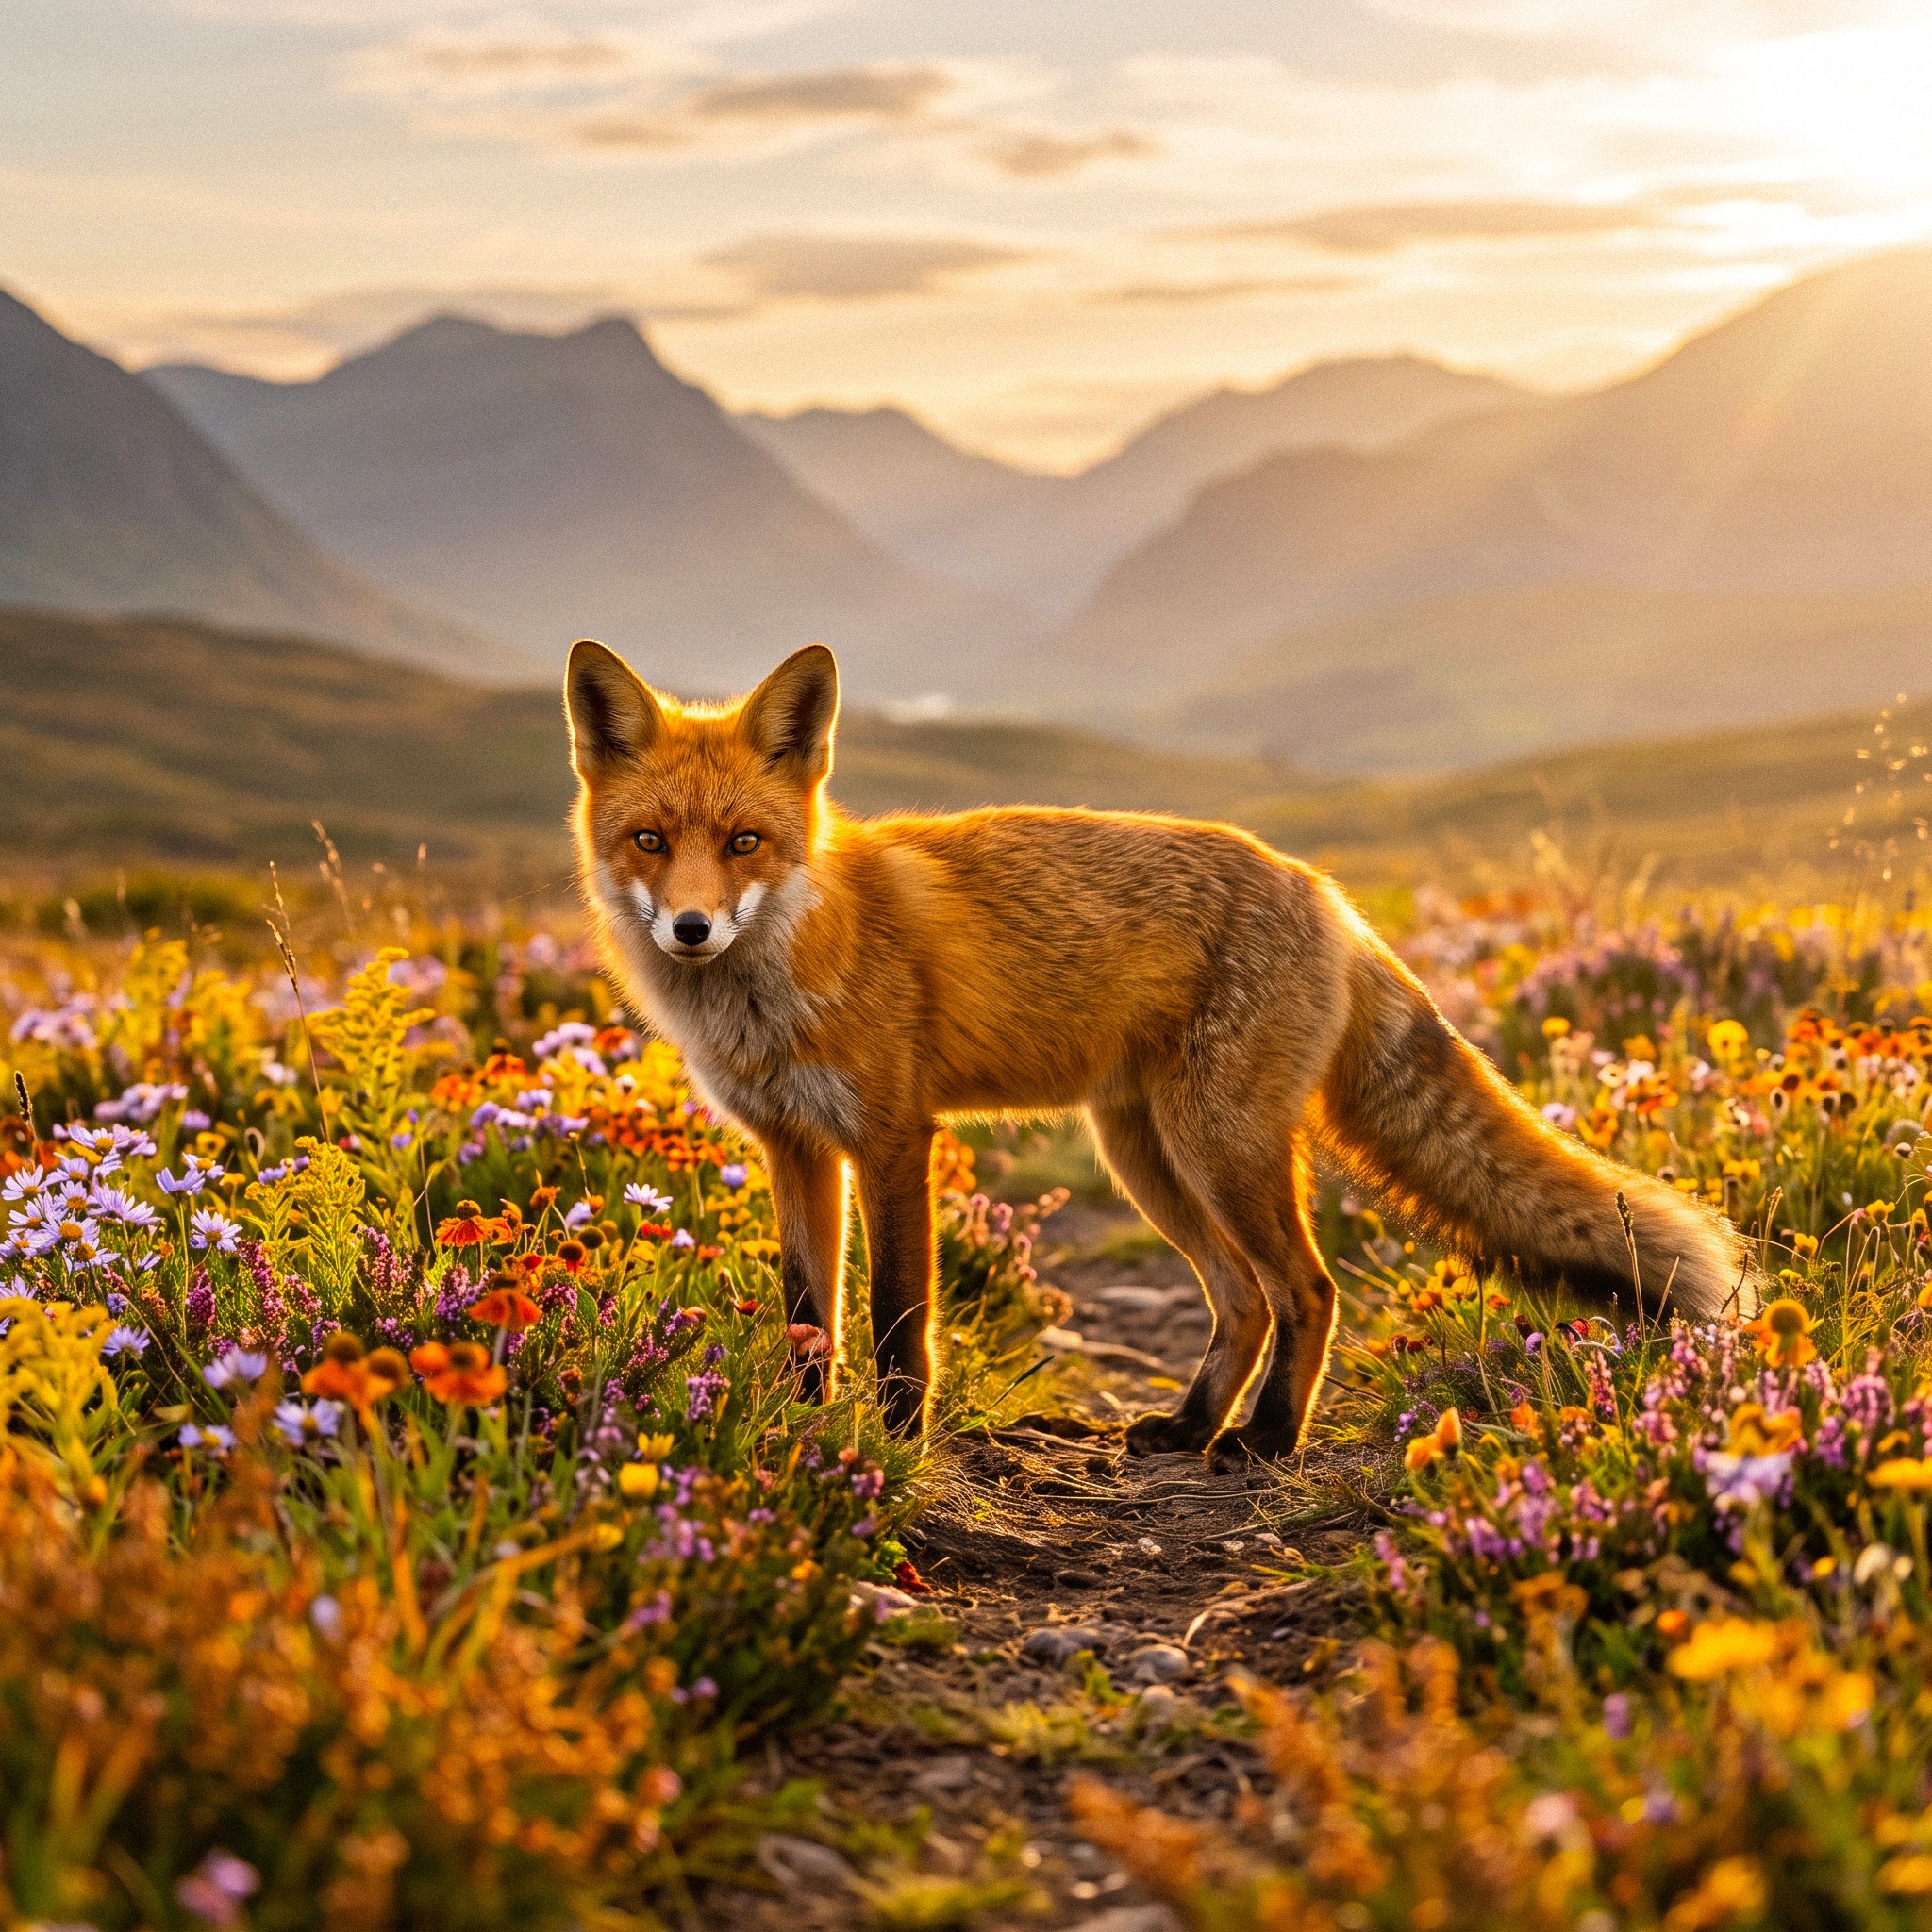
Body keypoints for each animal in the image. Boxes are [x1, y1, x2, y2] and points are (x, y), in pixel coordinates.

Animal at [564, 638, 1751, 1464]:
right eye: (650, 841)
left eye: (745, 842)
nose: (690, 928)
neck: (778, 977)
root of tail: (1324, 892)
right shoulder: (794, 1147)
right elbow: (809, 1321)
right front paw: (807, 1442)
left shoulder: (895, 1136)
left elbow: (900, 1322)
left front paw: (895, 1451)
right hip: (1146, 1155)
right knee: (1240, 1298)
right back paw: (1187, 1427)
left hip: (1215, 1147)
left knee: (1307, 1288)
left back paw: (1262, 1441)